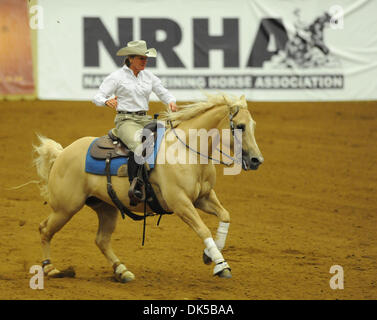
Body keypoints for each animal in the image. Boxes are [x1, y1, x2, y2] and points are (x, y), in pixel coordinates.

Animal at [33, 93, 262, 282]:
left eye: (253, 125)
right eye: (240, 126)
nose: (256, 160)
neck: (187, 151)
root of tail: (62, 153)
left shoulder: (203, 197)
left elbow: (225, 216)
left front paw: (209, 255)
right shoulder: (180, 202)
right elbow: (203, 228)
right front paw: (221, 265)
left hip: (106, 207)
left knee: (101, 240)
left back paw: (122, 271)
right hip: (65, 208)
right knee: (44, 229)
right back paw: (50, 268)